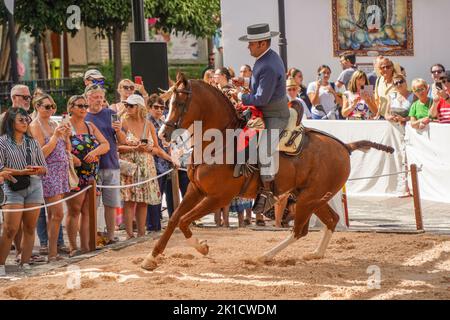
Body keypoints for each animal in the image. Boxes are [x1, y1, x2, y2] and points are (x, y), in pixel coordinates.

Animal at [142, 75, 394, 270]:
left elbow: (184, 221)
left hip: (308, 199)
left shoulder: (218, 198)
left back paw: (265, 256)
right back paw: (315, 253)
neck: (220, 142)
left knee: (299, 231)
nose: (163, 134)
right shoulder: (195, 190)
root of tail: (345, 147)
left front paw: (202, 247)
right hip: (312, 198)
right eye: (167, 103)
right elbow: (174, 219)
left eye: (179, 103)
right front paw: (151, 257)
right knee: (331, 220)